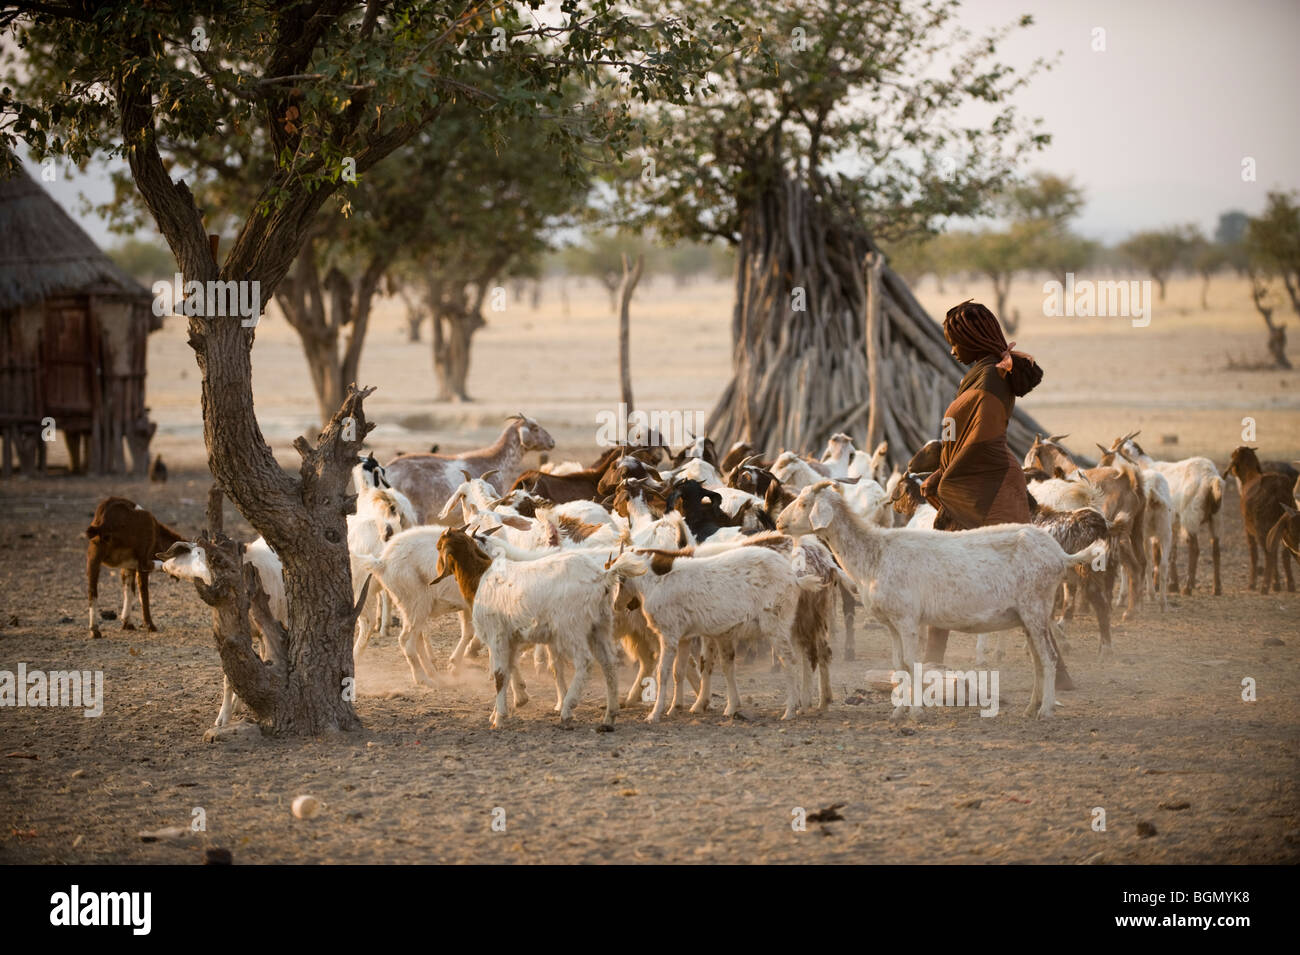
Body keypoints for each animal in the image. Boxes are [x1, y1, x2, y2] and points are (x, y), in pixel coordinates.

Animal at [84, 496, 185, 639]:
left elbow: (129, 591)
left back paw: (95, 630)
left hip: (94, 554)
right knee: (146, 566)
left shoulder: (128, 567)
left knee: (92, 591)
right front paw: (150, 626)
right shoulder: (140, 563)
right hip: (141, 550)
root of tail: (104, 521)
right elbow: (143, 592)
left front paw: (127, 623)